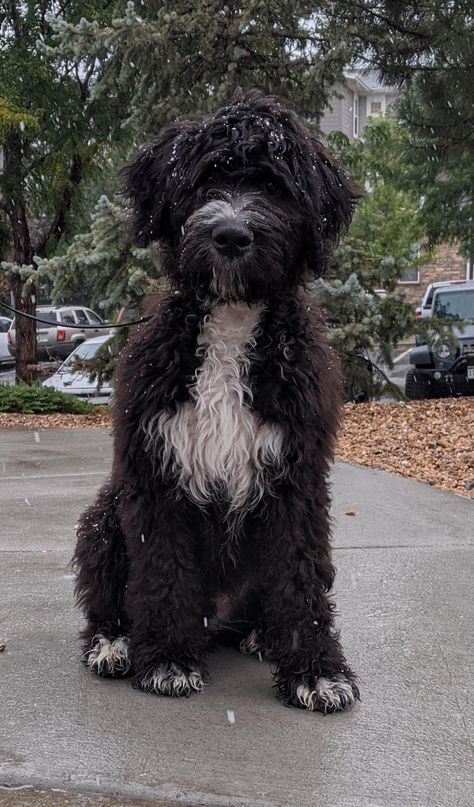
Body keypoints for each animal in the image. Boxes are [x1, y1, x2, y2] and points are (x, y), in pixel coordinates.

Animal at [75, 90, 360, 712]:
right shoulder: (155, 471)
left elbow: (301, 575)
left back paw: (261, 635)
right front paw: (167, 659)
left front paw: (315, 672)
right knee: (106, 597)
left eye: (275, 185)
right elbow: (163, 570)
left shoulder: (297, 476)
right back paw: (115, 643)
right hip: (105, 514)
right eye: (205, 179)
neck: (230, 323)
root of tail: (222, 617)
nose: (230, 234)